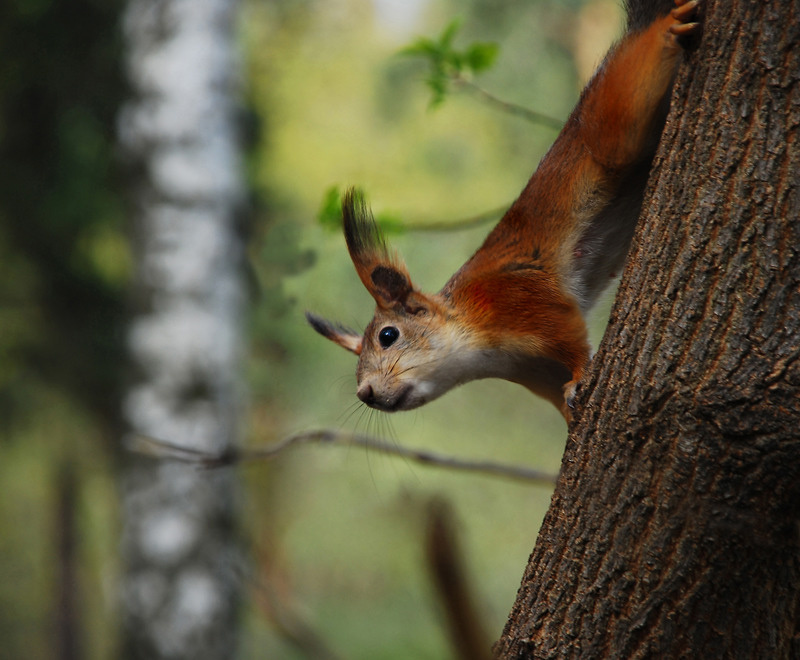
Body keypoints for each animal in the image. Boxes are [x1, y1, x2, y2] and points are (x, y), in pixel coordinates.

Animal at [307, 0, 701, 421]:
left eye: (387, 335)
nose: (364, 393)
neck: (477, 343)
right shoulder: (536, 372)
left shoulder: (520, 300)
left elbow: (571, 338)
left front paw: (580, 376)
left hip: (615, 120)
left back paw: (666, 27)